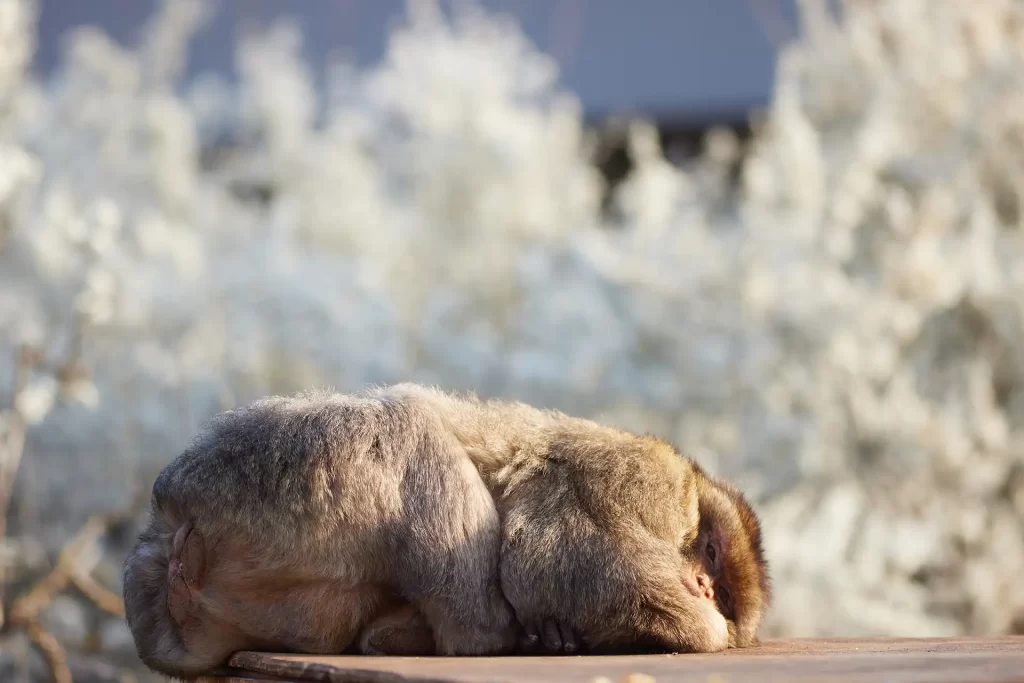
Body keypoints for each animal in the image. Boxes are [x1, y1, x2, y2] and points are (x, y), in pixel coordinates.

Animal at [121, 385, 770, 679]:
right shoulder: (633, 477)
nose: (704, 588)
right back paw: (486, 635)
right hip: (271, 469)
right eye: (710, 550)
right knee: (404, 424)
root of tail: (170, 522)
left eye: (724, 588)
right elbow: (545, 560)